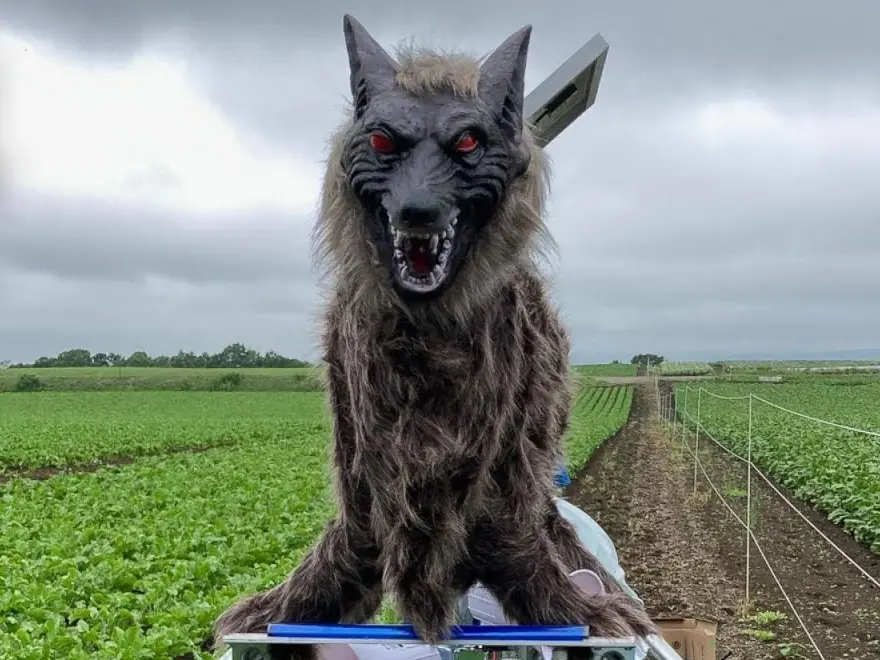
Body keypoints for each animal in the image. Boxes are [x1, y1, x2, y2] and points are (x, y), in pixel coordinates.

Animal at [213, 14, 656, 659]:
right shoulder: (362, 469)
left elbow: (521, 542)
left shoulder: (501, 474)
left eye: (468, 143)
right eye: (381, 143)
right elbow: (345, 552)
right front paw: (280, 608)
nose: (418, 210)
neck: (425, 334)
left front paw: (587, 610)